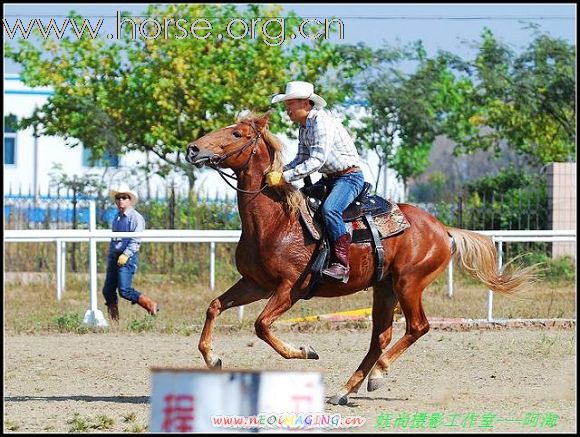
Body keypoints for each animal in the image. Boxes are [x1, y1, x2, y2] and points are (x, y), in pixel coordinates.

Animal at [186, 110, 536, 404]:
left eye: (237, 133)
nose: (193, 148)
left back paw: (378, 374)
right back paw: (345, 389)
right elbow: (214, 306)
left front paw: (306, 350)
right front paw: (212, 357)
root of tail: (442, 228)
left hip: (409, 283)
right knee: (380, 337)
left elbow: (261, 325)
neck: (276, 221)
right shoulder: (255, 283)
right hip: (385, 288)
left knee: (417, 327)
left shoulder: (290, 288)